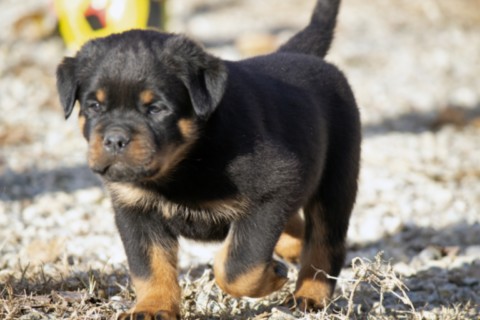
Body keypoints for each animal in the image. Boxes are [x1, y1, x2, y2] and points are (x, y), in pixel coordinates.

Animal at [56, 0, 358, 318]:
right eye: (94, 106)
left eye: (156, 109)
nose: (115, 139)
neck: (186, 162)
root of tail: (300, 54)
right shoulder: (135, 208)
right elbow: (149, 266)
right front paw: (154, 306)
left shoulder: (274, 188)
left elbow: (239, 265)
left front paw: (273, 274)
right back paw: (293, 247)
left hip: (336, 181)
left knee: (325, 242)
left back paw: (310, 295)